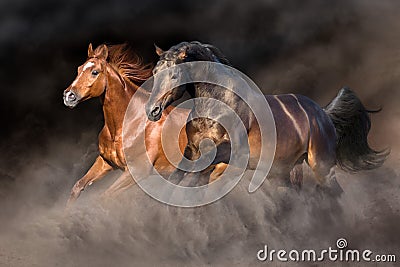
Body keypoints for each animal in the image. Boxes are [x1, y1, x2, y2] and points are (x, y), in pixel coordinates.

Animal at [63, 44, 193, 206]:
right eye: (79, 69)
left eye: (95, 72)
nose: (68, 96)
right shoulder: (106, 162)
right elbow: (78, 186)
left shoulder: (136, 172)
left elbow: (104, 197)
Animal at [145, 40, 390, 194]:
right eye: (155, 72)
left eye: (174, 75)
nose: (152, 110)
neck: (216, 105)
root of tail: (323, 114)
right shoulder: (193, 150)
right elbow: (178, 176)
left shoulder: (226, 152)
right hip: (282, 172)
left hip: (320, 165)